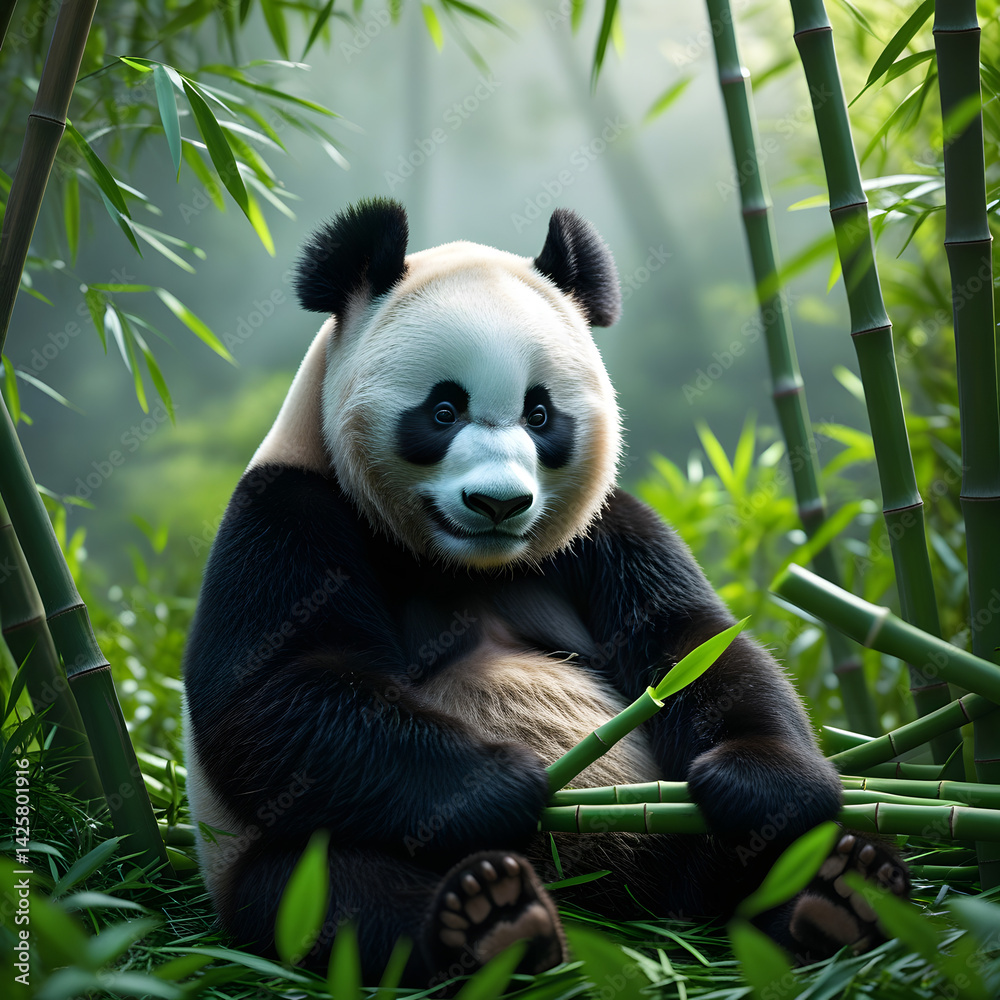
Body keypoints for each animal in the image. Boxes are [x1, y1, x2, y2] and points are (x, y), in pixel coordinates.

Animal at [182, 198, 909, 986]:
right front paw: (505, 782)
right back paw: (493, 922)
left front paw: (757, 782)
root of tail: (619, 913)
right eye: (443, 410)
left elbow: (696, 646)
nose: (498, 503)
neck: (463, 563)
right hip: (273, 862)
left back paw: (840, 897)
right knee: (328, 894)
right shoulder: (286, 512)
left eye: (540, 414)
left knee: (759, 861)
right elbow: (272, 693)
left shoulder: (604, 532)